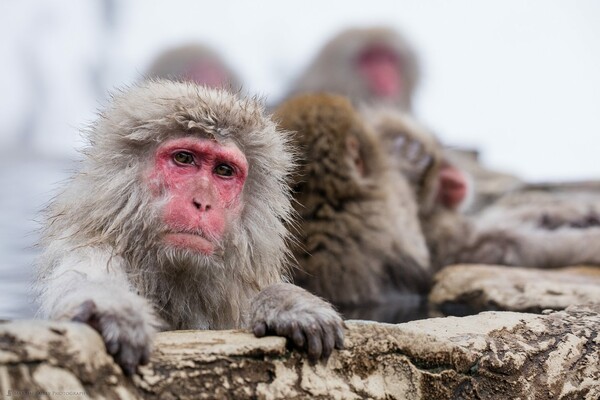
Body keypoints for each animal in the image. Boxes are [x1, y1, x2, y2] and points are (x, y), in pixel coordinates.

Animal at [36, 80, 342, 376]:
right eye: (183, 158)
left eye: (224, 171)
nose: (202, 203)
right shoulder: (94, 249)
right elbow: (85, 279)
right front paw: (109, 310)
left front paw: (288, 304)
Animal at [366, 109, 600, 270]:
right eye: (431, 178)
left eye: (436, 163)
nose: (454, 180)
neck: (429, 214)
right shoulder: (439, 238)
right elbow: (507, 244)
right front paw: (591, 242)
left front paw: (575, 212)